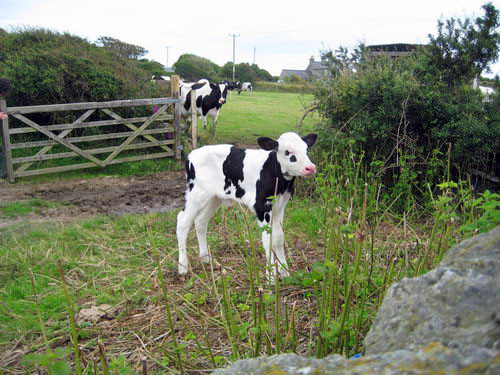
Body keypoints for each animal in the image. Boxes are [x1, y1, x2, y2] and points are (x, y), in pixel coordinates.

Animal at [176, 131, 316, 280]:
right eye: (287, 152)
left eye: (306, 149)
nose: (310, 168)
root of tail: (191, 155)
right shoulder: (261, 207)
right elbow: (268, 239)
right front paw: (271, 277)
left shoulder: (280, 206)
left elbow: (279, 237)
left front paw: (285, 272)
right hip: (196, 194)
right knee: (183, 222)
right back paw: (183, 267)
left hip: (214, 197)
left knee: (201, 221)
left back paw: (205, 258)